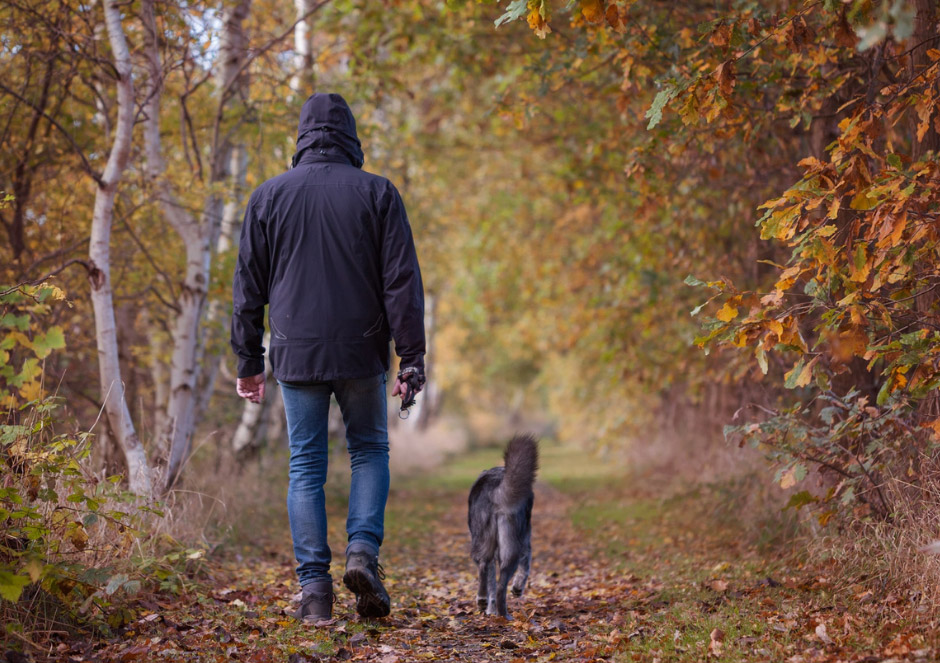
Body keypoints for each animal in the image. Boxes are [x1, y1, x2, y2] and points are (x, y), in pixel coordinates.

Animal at [468, 436, 540, 616]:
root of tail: (495, 488)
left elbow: (491, 583)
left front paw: (489, 609)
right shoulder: (526, 540)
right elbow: (526, 565)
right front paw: (517, 588)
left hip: (484, 542)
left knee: (485, 567)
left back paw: (484, 601)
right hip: (511, 545)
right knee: (501, 586)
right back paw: (504, 615)